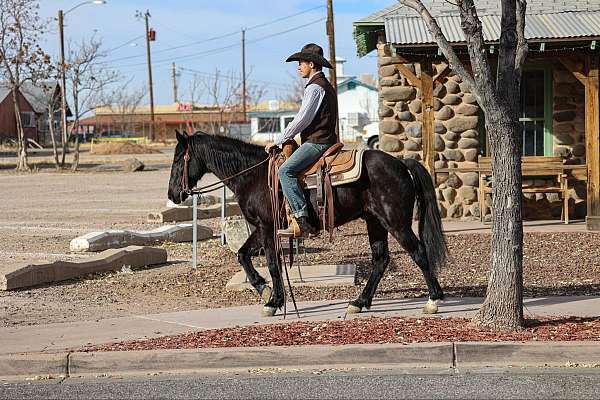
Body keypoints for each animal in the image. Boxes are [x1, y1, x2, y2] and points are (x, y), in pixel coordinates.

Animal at [166, 131, 448, 316]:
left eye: (179, 159)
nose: (173, 194)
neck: (253, 175)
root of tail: (401, 163)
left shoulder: (267, 227)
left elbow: (272, 263)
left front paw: (273, 301)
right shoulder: (261, 228)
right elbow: (243, 255)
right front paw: (264, 290)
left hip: (396, 222)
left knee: (418, 252)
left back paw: (433, 300)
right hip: (375, 222)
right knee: (381, 259)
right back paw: (359, 302)